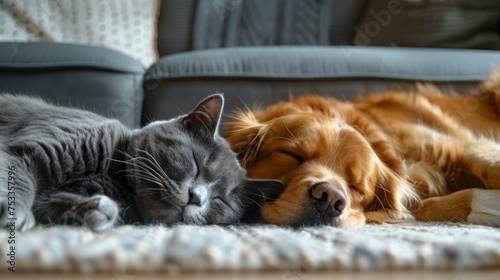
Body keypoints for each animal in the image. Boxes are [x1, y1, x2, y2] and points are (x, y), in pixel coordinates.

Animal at [0, 94, 282, 232]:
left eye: (221, 200)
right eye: (196, 163)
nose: (196, 198)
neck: (113, 173)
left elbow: (51, 202)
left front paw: (97, 210)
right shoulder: (29, 150)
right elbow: (18, 178)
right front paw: (17, 216)